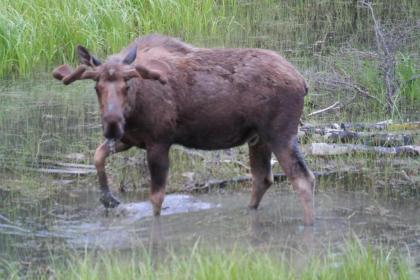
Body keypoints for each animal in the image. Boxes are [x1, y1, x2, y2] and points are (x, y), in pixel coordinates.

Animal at [52, 34, 316, 225]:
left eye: (127, 84)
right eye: (97, 86)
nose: (111, 124)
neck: (134, 109)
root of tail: (303, 82)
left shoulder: (159, 141)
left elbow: (156, 198)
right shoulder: (129, 139)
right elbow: (97, 155)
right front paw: (107, 198)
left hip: (280, 133)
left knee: (303, 179)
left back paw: (308, 225)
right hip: (258, 138)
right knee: (263, 178)